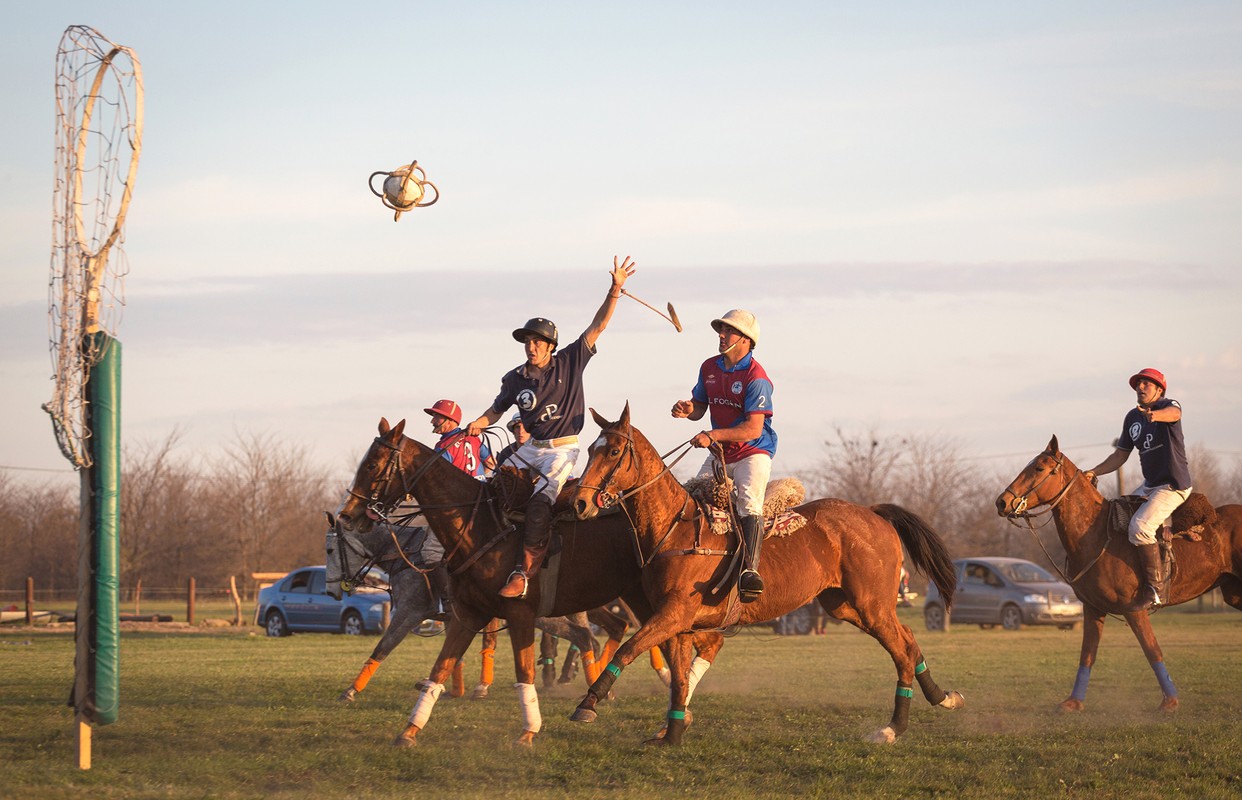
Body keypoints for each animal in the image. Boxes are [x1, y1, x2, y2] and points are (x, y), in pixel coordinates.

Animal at [335, 422, 725, 745]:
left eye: (372, 466)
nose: (349, 515)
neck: (478, 528)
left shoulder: (514, 612)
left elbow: (522, 671)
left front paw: (528, 730)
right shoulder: (467, 613)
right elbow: (440, 667)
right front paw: (410, 729)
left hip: (659, 603)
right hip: (647, 601)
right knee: (682, 641)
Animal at [568, 402, 963, 745]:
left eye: (614, 451)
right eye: (589, 449)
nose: (580, 503)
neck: (674, 528)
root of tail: (874, 513)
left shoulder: (673, 614)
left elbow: (628, 650)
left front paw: (587, 705)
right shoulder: (677, 624)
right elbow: (678, 679)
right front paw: (671, 735)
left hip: (872, 604)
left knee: (901, 649)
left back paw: (894, 727)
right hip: (843, 604)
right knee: (907, 638)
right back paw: (942, 697)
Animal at [993, 437, 1242, 710]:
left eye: (1039, 468)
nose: (1002, 502)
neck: (1096, 535)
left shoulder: (1134, 609)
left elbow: (1152, 650)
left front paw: (1170, 701)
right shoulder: (1093, 608)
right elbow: (1087, 654)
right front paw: (1073, 702)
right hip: (1234, 594)